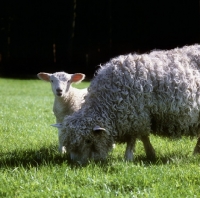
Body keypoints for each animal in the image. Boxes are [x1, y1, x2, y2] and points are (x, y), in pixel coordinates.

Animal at [54, 44, 200, 164]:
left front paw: (129, 157)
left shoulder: (135, 115)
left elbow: (134, 138)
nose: (78, 163)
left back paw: (195, 154)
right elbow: (144, 136)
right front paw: (150, 154)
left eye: (88, 141)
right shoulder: (140, 115)